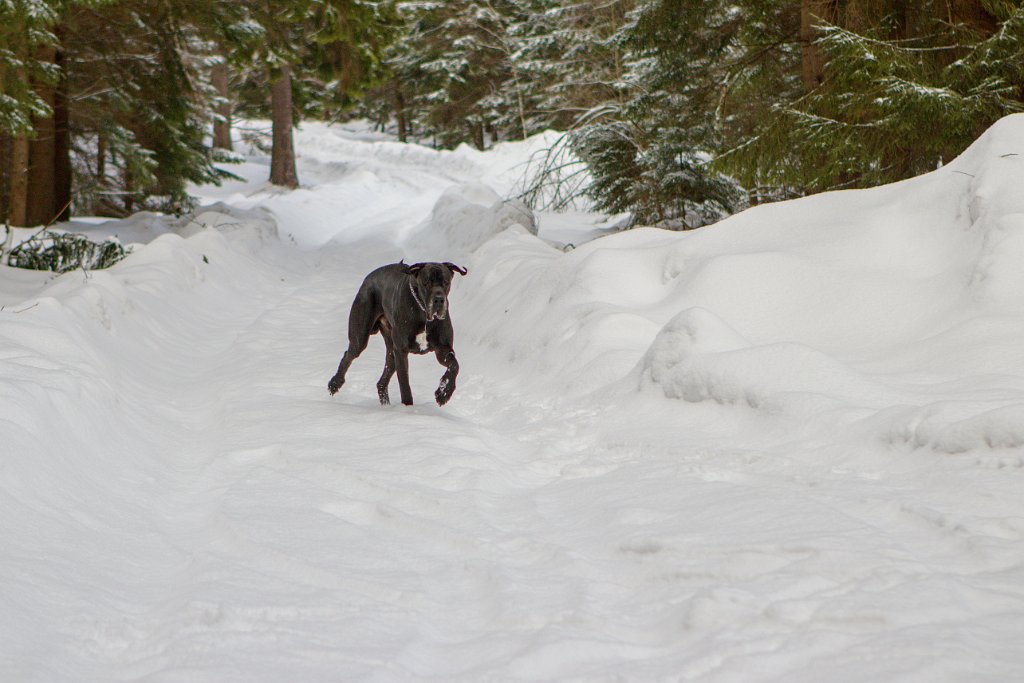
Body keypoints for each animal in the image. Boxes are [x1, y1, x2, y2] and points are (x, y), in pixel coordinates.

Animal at [327, 262, 468, 405]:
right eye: (426, 283)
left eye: (446, 282)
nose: (439, 299)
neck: (423, 315)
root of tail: (368, 278)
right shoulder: (401, 351)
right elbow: (405, 384)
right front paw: (408, 407)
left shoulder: (442, 349)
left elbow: (454, 365)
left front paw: (444, 392)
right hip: (360, 338)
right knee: (347, 356)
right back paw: (334, 384)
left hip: (391, 352)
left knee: (381, 382)